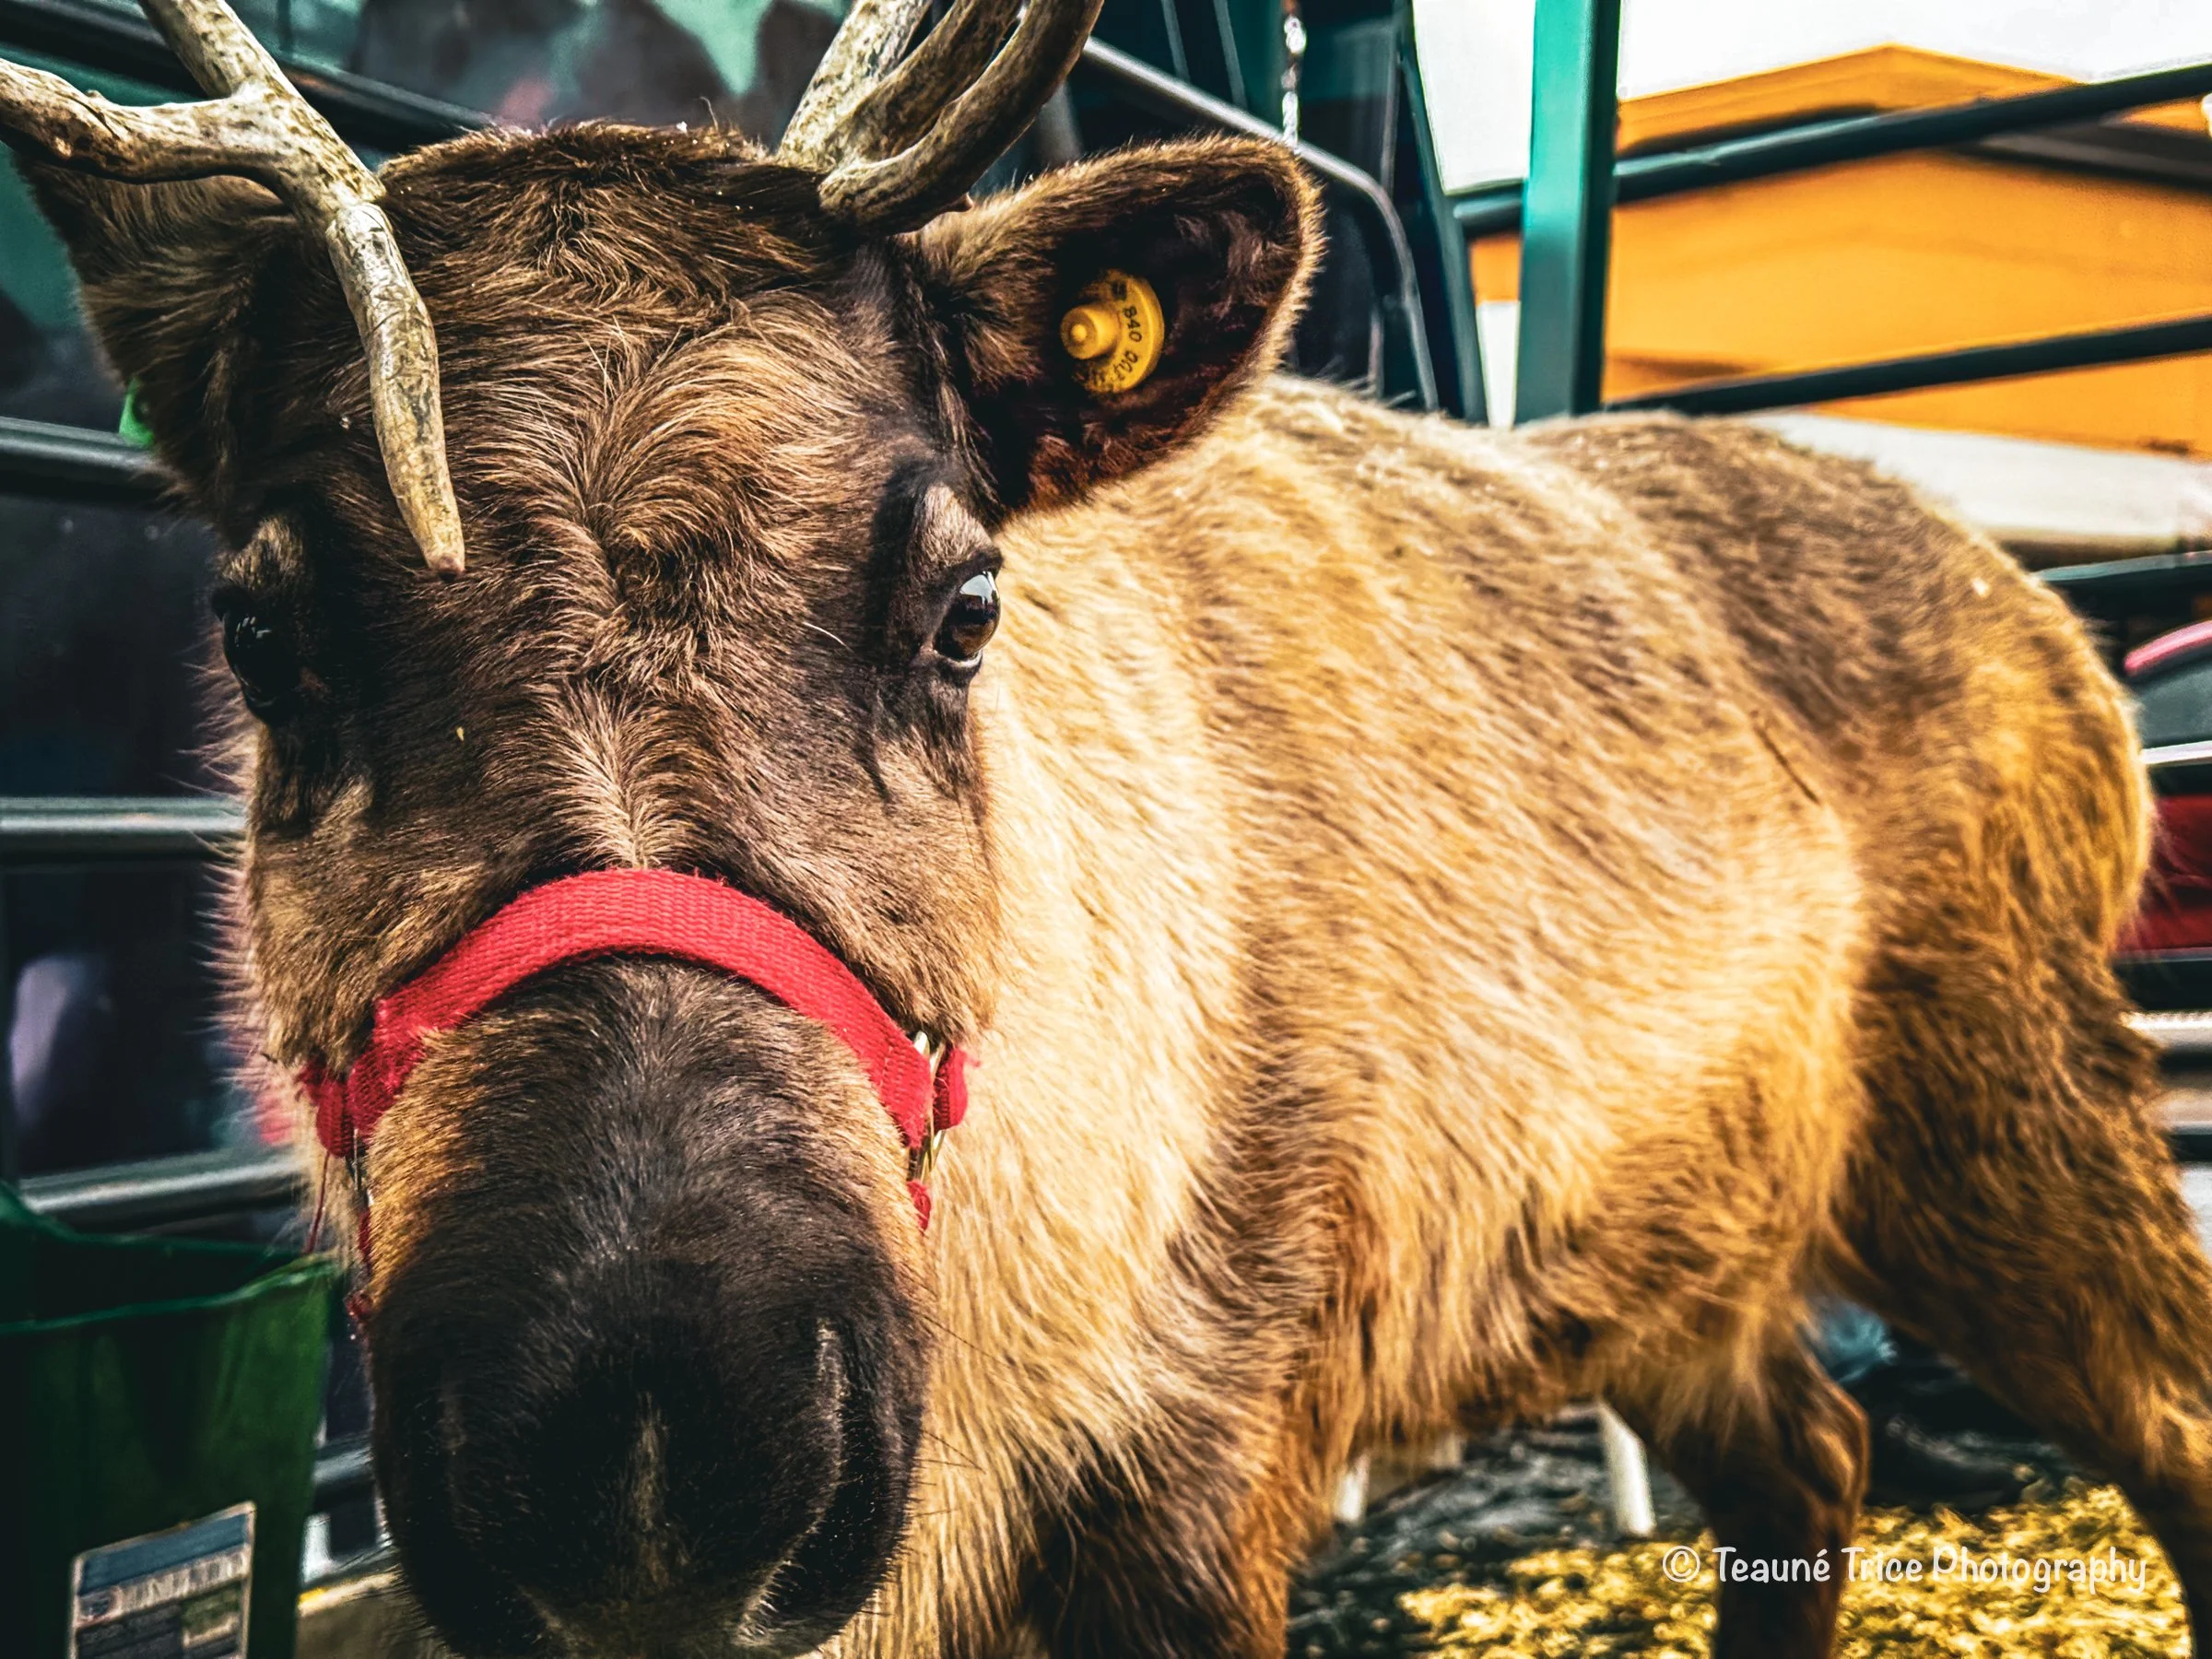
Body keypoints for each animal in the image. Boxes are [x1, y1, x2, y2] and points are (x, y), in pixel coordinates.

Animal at [8, 1, 2212, 1655]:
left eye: (967, 600)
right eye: (263, 626)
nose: (656, 1452)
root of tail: (2064, 633)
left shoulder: (1214, 1457)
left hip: (2019, 1113)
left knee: (2164, 1429)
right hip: (1684, 1245)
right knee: (1816, 1458)